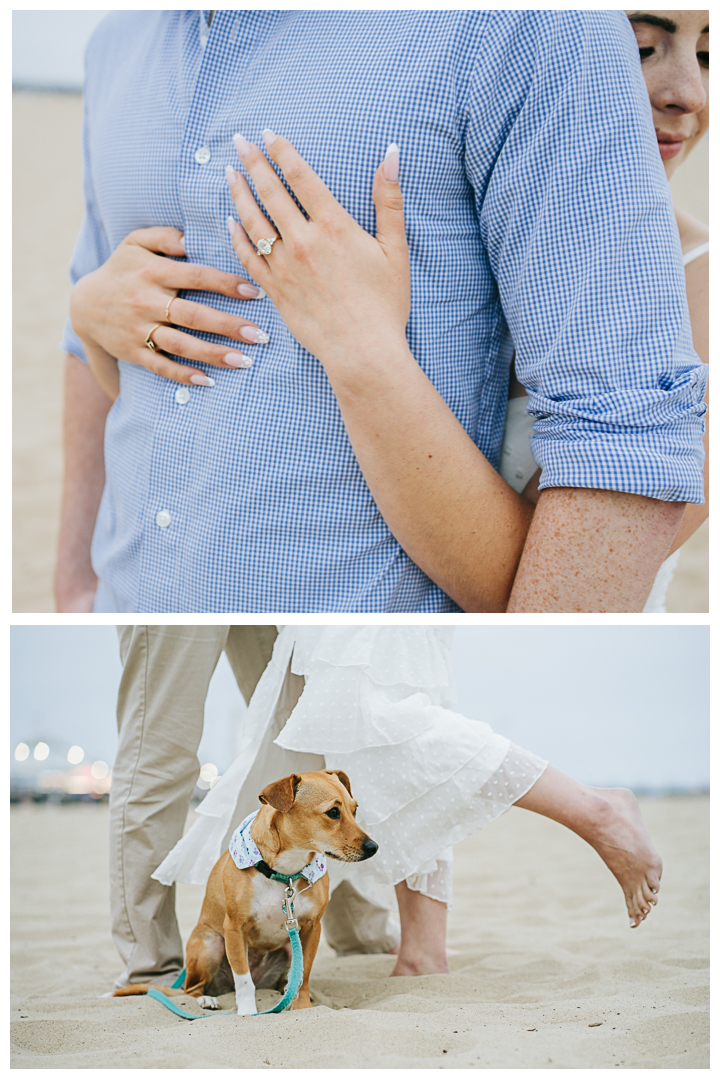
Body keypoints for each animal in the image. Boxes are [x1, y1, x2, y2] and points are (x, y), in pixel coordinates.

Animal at [112, 768, 377, 1010]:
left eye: (355, 810)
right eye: (333, 812)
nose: (373, 847)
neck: (286, 872)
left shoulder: (312, 927)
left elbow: (303, 975)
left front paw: (302, 1007)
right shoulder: (235, 928)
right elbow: (244, 979)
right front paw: (248, 1013)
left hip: (288, 948)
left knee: (286, 979)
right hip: (211, 944)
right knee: (193, 989)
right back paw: (207, 999)